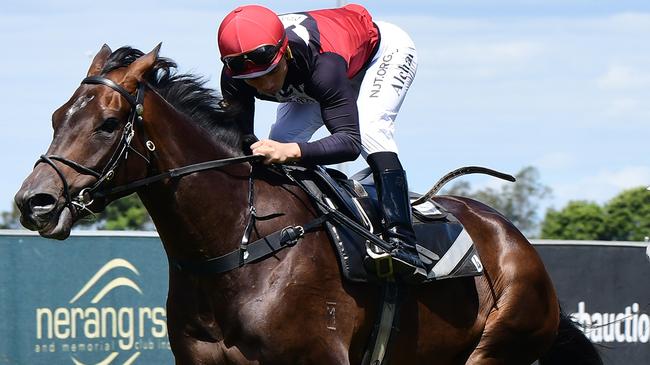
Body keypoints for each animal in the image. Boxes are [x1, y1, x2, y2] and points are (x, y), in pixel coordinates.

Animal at [13, 45, 596, 364]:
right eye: (58, 115)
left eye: (109, 123)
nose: (34, 201)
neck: (239, 245)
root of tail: (515, 239)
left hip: (499, 345)